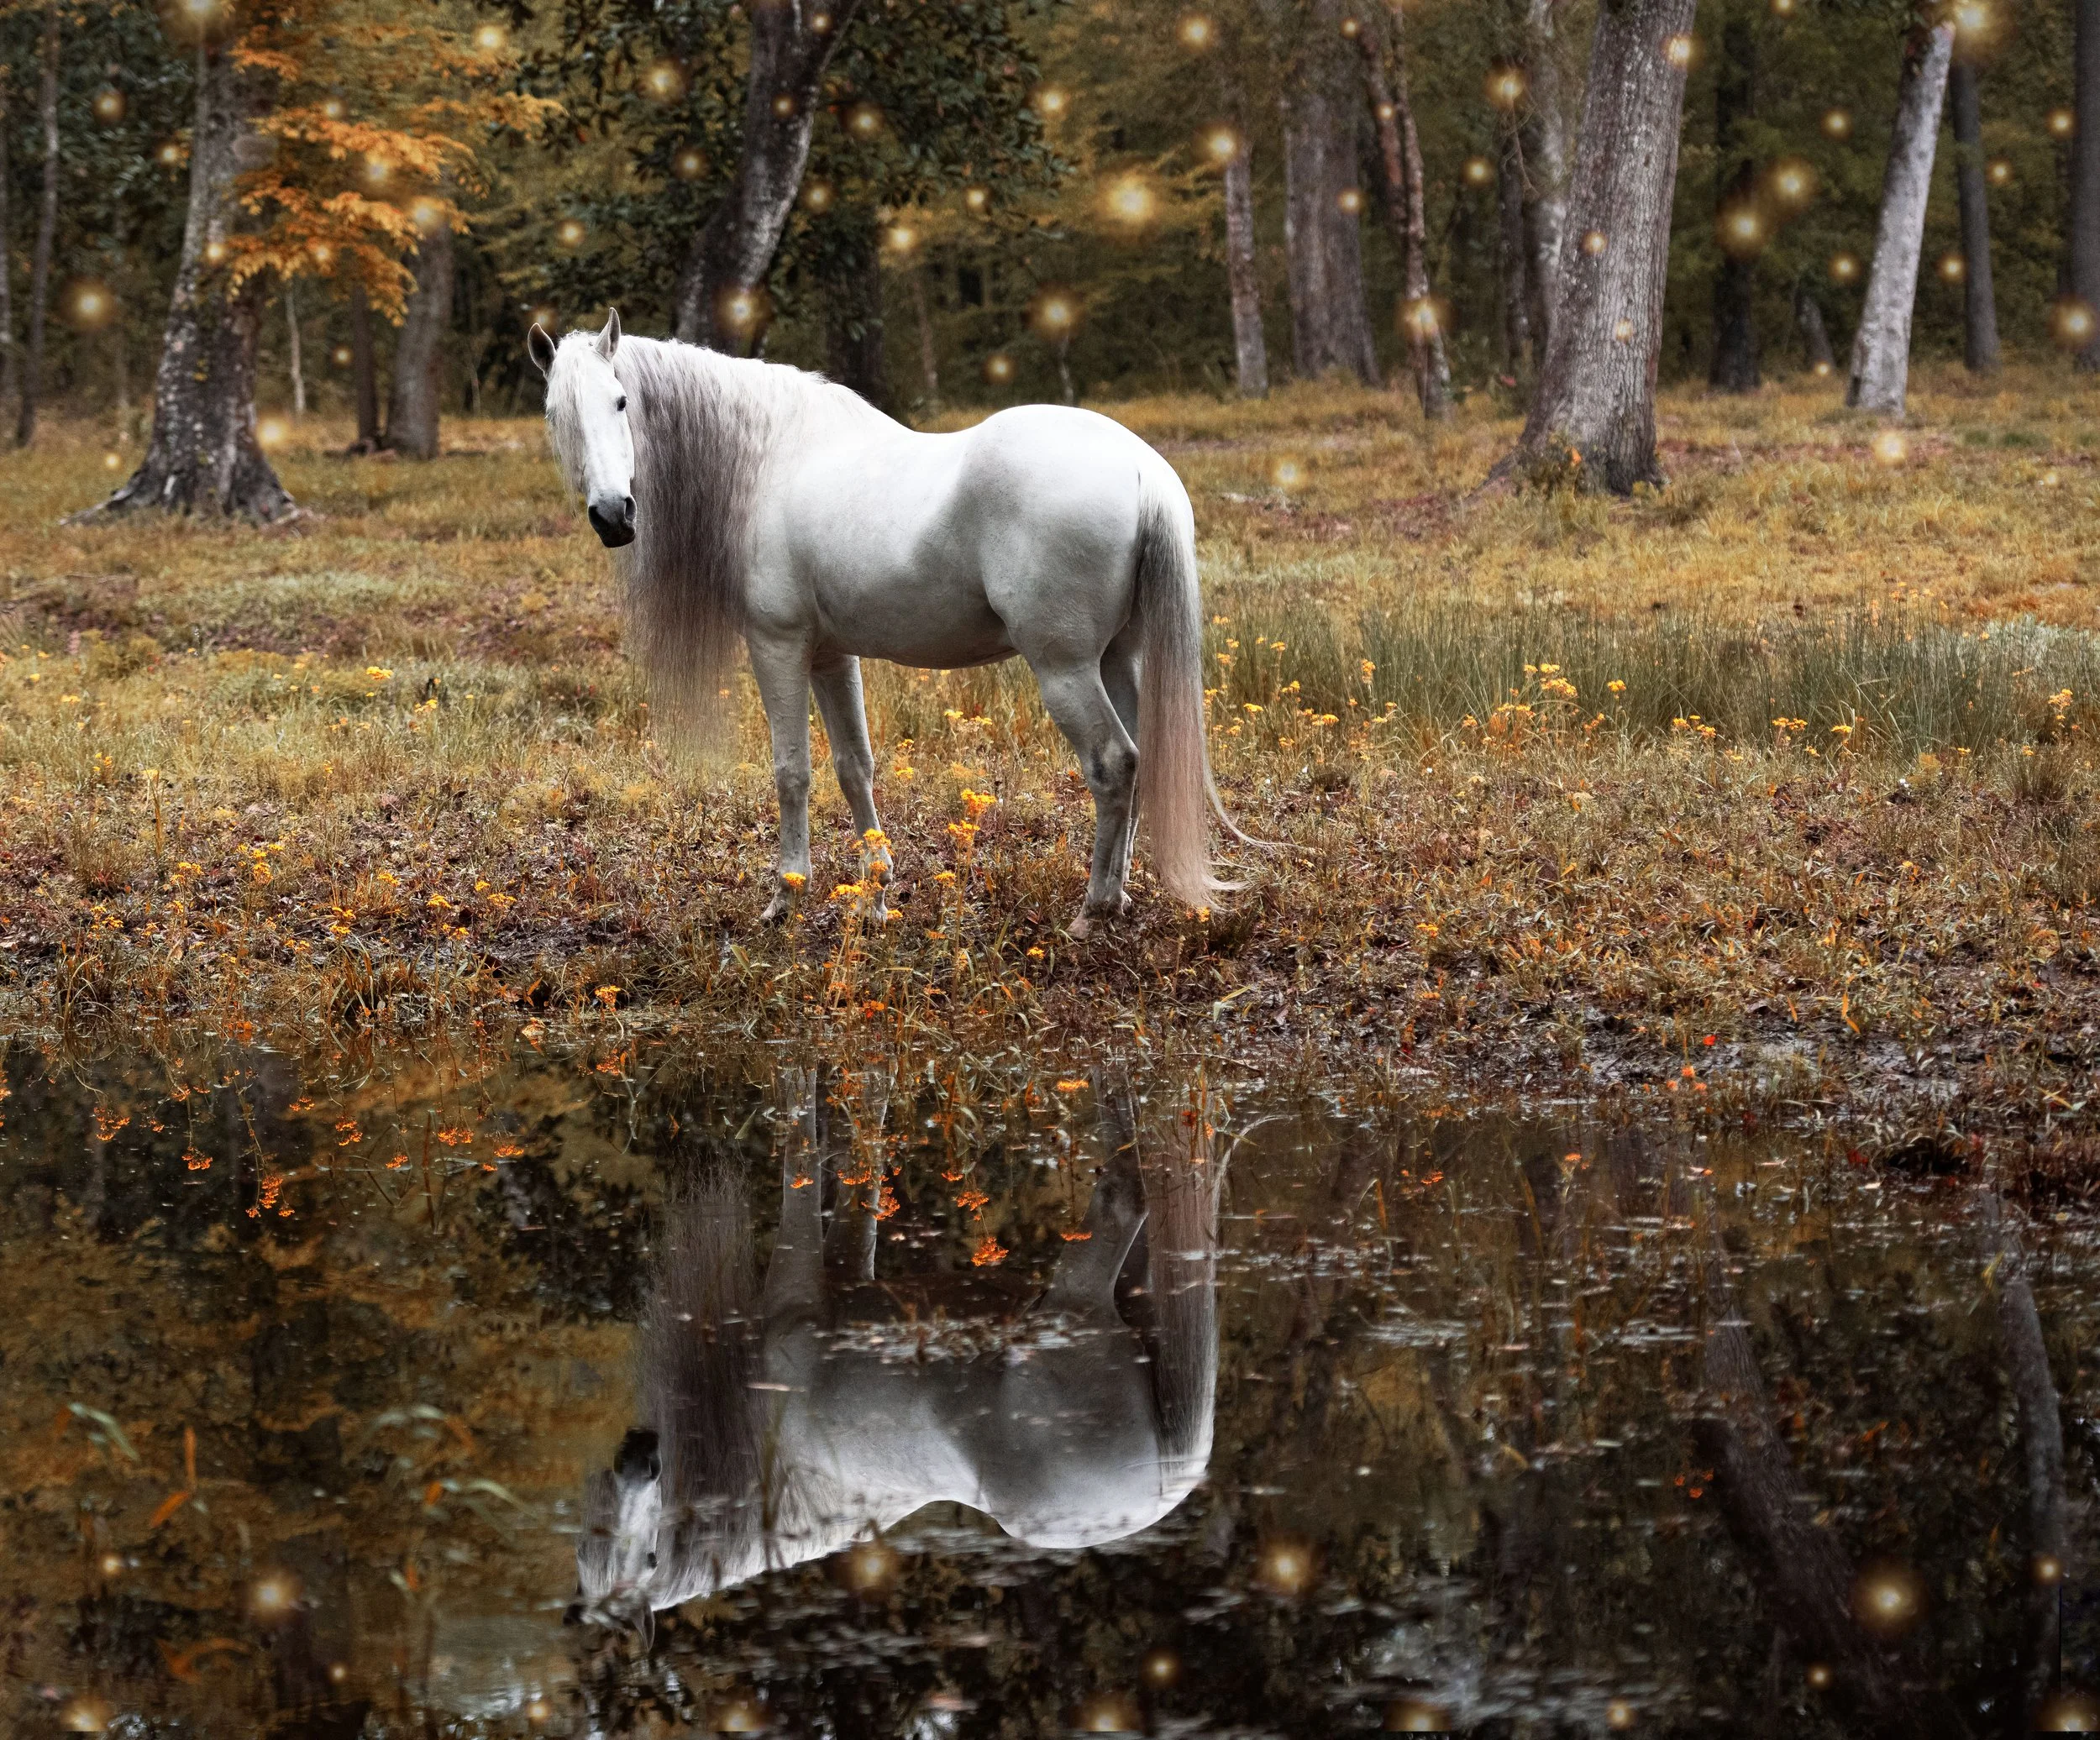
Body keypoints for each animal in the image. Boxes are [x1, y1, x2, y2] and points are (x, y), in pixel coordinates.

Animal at [529, 310, 1244, 935]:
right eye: (555, 414)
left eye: (622, 401)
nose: (613, 515)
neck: (771, 460)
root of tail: (1141, 469)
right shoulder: (829, 655)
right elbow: (854, 767)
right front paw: (876, 893)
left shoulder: (778, 646)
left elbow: (792, 771)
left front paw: (787, 896)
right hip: (1117, 657)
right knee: (1141, 756)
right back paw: (1118, 896)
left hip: (1064, 668)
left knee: (1113, 763)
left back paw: (1092, 911)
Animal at [570, 1070, 1224, 1620]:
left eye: (652, 1558)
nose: (639, 1457)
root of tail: (1169, 1473)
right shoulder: (841, 1271)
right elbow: (856, 1159)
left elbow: (806, 1144)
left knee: (1125, 1193)